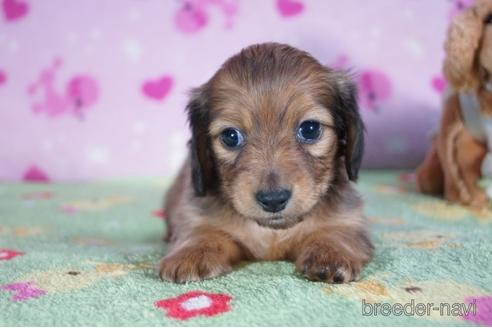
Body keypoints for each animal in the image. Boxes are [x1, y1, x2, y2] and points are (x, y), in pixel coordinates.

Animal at [158, 43, 372, 284]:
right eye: (230, 136)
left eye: (310, 129)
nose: (273, 199)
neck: (272, 232)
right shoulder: (197, 215)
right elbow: (202, 232)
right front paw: (190, 254)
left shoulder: (348, 219)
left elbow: (336, 231)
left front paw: (329, 253)